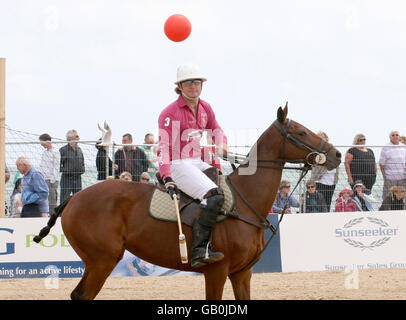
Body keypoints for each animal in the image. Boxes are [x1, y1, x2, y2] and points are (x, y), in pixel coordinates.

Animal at [35, 105, 340, 300]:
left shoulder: (242, 274)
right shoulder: (216, 272)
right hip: (102, 259)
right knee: (82, 295)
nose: (336, 154)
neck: (245, 200)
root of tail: (74, 197)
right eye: (300, 132)